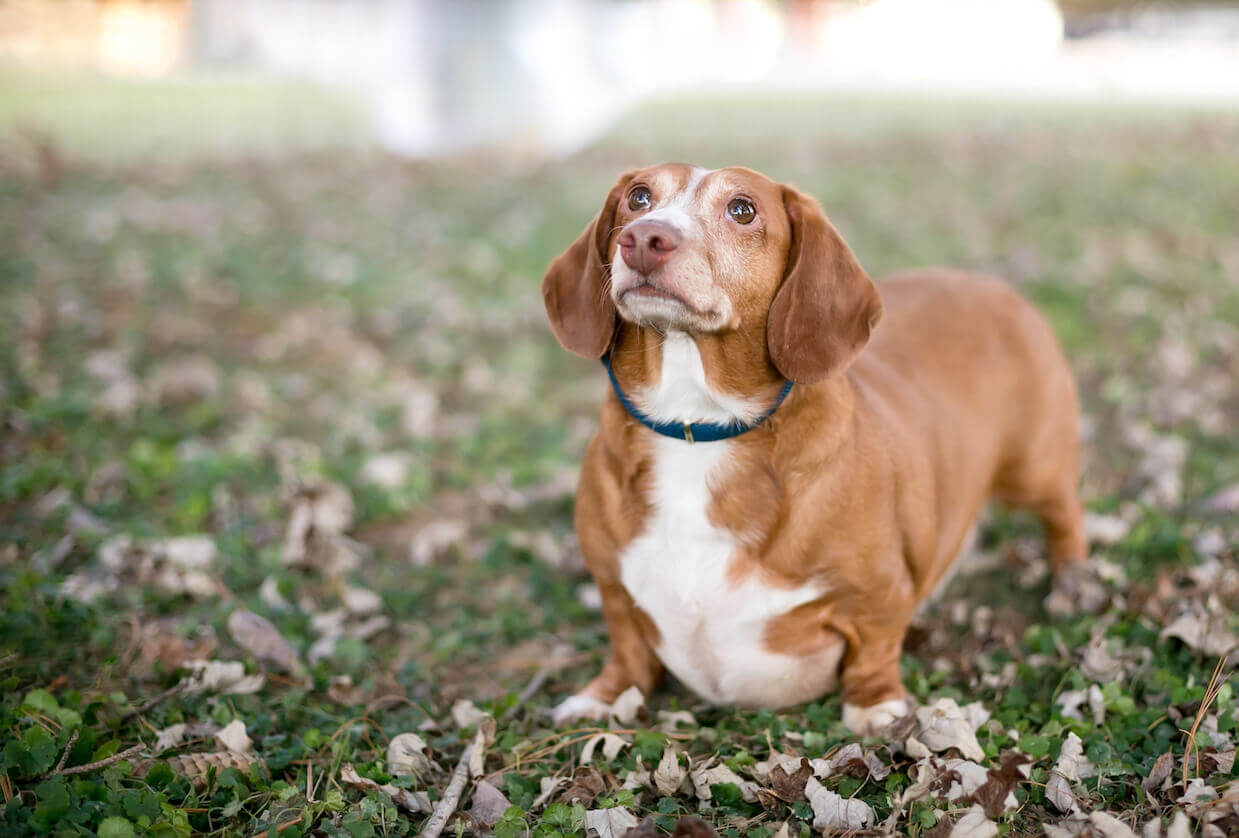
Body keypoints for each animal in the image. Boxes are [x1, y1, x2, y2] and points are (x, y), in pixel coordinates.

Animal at [542, 162, 1085, 733]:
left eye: (742, 209)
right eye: (638, 197)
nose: (644, 238)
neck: (696, 425)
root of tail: (990, 284)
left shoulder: (879, 595)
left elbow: (874, 650)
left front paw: (875, 709)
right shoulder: (613, 586)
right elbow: (626, 650)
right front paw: (604, 696)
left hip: (1034, 468)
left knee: (1065, 513)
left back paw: (1070, 585)